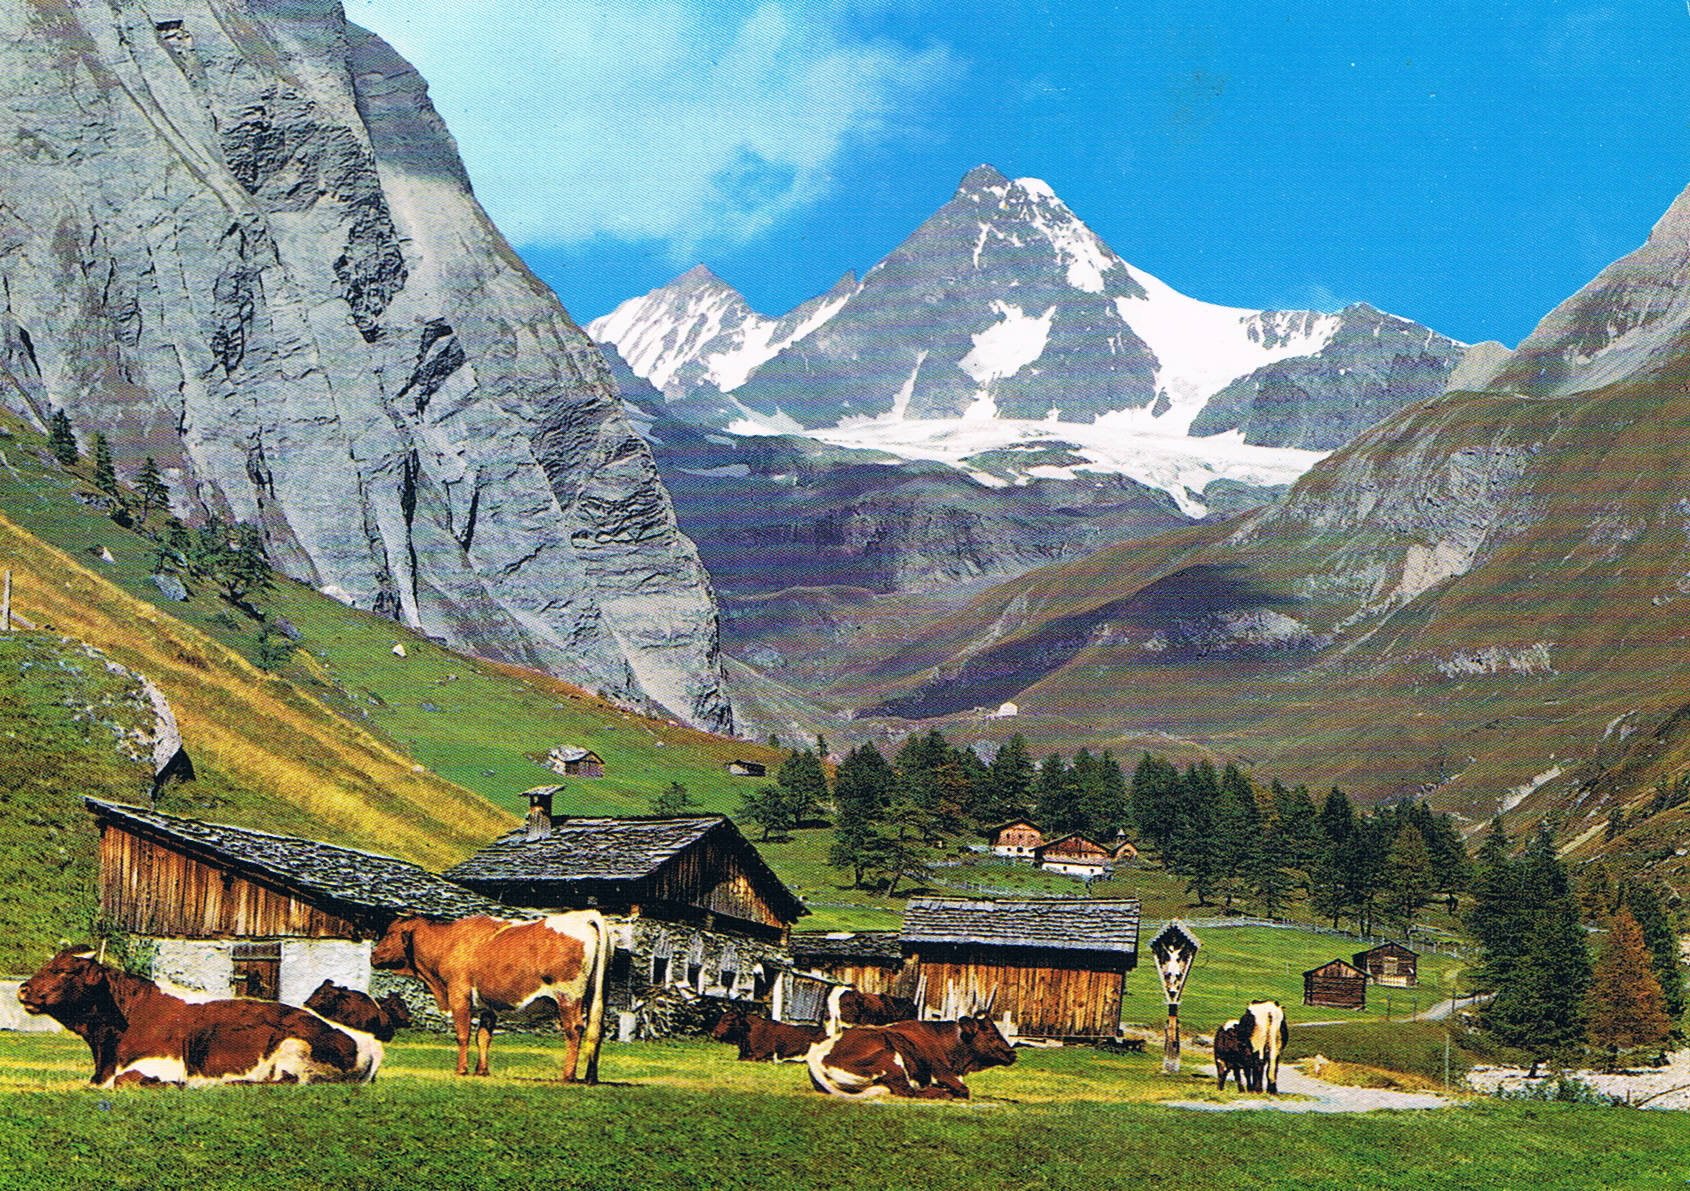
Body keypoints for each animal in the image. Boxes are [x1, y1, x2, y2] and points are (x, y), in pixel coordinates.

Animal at [19, 946, 378, 1087]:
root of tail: (368, 1041)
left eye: (64, 970)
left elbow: (127, 1080)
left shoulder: (162, 1063)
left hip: (294, 1047)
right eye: (48, 964)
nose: (23, 989)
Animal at [373, 912, 611, 1081]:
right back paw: (591, 1076)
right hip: (597, 996)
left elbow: (463, 1035)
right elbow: (483, 1037)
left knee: (574, 1030)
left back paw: (568, 1075)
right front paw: (482, 1071)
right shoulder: (488, 1006)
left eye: (390, 933)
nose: (373, 955)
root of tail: (583, 916)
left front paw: (462, 1069)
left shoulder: (459, 995)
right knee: (596, 1030)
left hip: (568, 996)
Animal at [804, 1013, 1014, 1094]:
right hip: (890, 1058)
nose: (1012, 1053)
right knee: (909, 1091)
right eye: (992, 1033)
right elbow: (964, 1090)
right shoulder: (942, 1072)